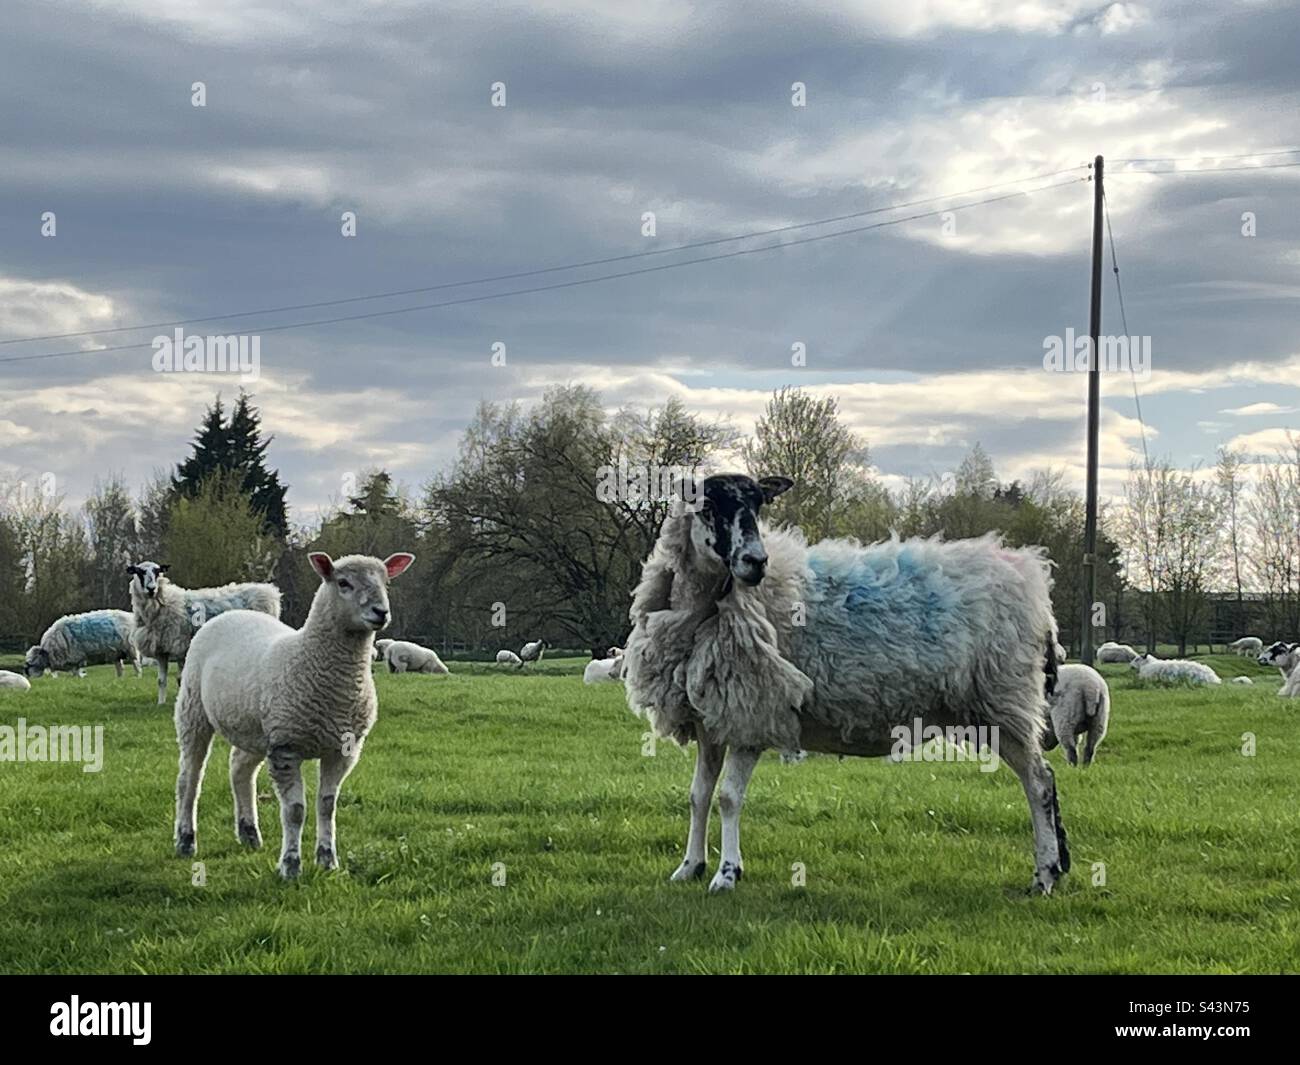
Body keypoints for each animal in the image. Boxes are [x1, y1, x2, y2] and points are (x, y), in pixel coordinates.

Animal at [128, 561, 281, 706]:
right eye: (139, 572)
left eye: (157, 571)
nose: (151, 589)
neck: (165, 602)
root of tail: (269, 592)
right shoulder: (161, 649)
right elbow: (161, 680)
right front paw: (160, 703)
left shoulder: (180, 646)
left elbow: (180, 679)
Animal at [173, 551, 415, 878]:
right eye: (343, 583)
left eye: (386, 582)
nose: (381, 612)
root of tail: (230, 614)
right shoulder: (286, 748)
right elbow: (295, 811)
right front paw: (290, 865)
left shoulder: (342, 750)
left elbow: (327, 805)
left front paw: (327, 860)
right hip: (193, 709)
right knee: (190, 777)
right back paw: (186, 840)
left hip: (257, 728)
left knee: (239, 769)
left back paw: (249, 833)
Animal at [623, 473, 1068, 896]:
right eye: (708, 506)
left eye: (759, 505)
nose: (756, 561)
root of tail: (1034, 585)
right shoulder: (711, 721)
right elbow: (698, 796)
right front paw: (689, 867)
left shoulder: (755, 711)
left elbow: (729, 798)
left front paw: (727, 874)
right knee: (1041, 780)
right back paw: (1054, 868)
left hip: (1003, 700)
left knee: (1039, 783)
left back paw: (1044, 876)